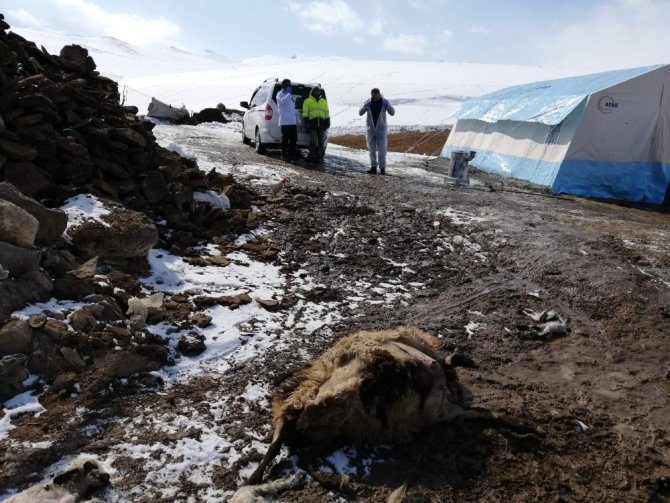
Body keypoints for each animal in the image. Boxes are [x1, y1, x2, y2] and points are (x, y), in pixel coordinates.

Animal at [244, 324, 532, 490]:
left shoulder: (446, 409)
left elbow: (489, 414)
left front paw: (527, 427)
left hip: (333, 431)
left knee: (301, 450)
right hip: (319, 400)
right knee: (289, 426)